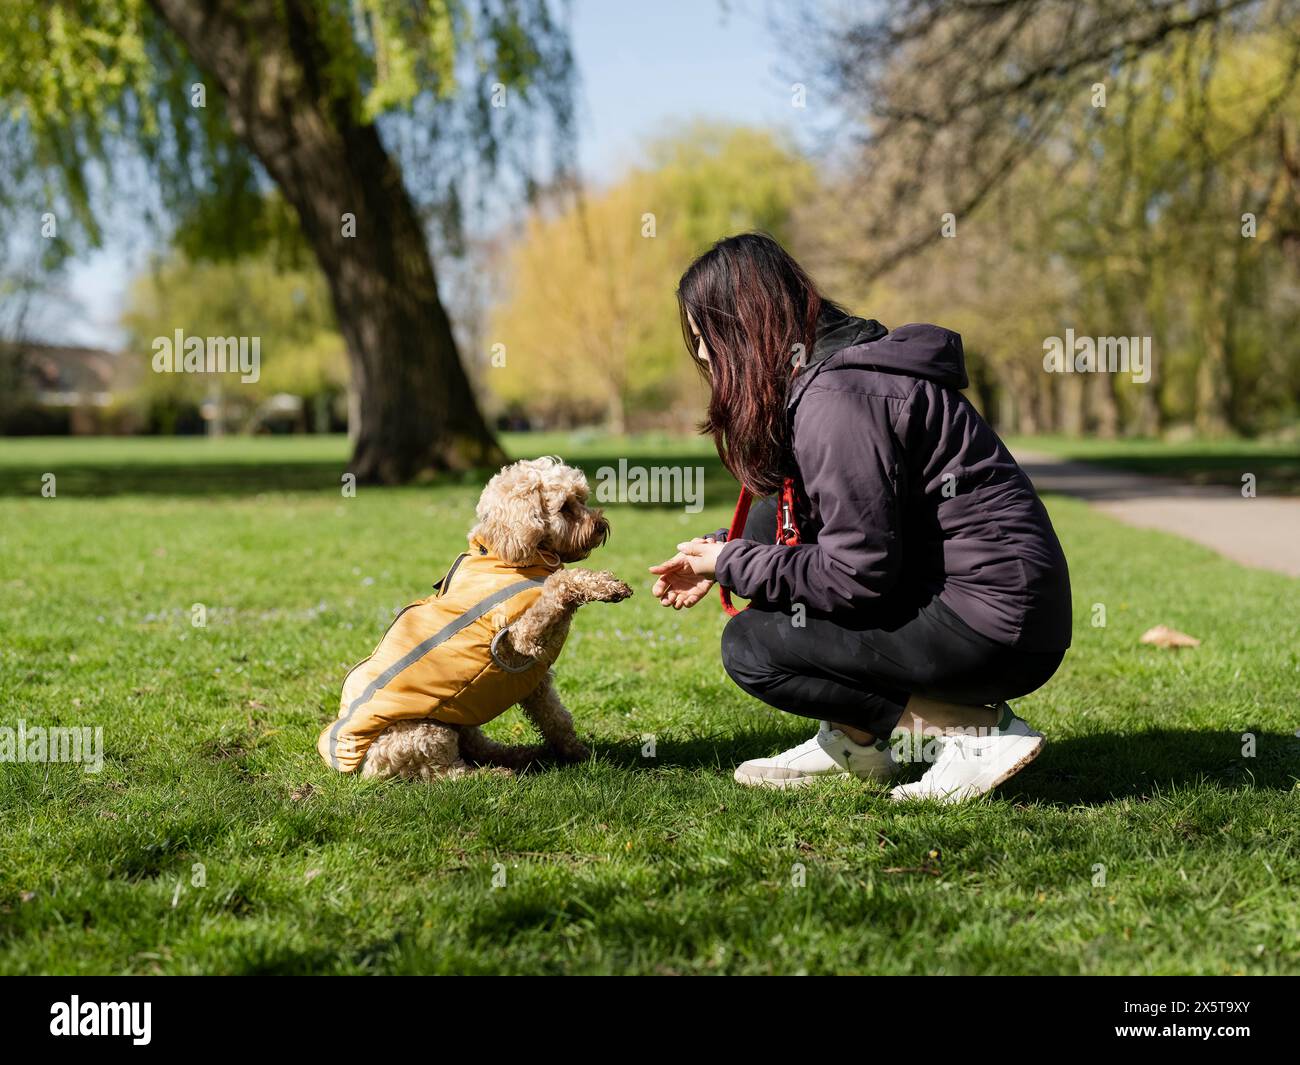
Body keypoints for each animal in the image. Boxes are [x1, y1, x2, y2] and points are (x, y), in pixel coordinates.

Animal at [319, 457, 634, 785]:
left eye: (582, 499)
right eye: (565, 507)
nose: (601, 526)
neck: (505, 556)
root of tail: (362, 767)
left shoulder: (535, 682)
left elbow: (556, 719)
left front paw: (578, 752)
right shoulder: (523, 636)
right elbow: (559, 583)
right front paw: (601, 585)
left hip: (459, 719)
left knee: (477, 745)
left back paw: (520, 754)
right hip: (427, 731)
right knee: (448, 772)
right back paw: (495, 773)